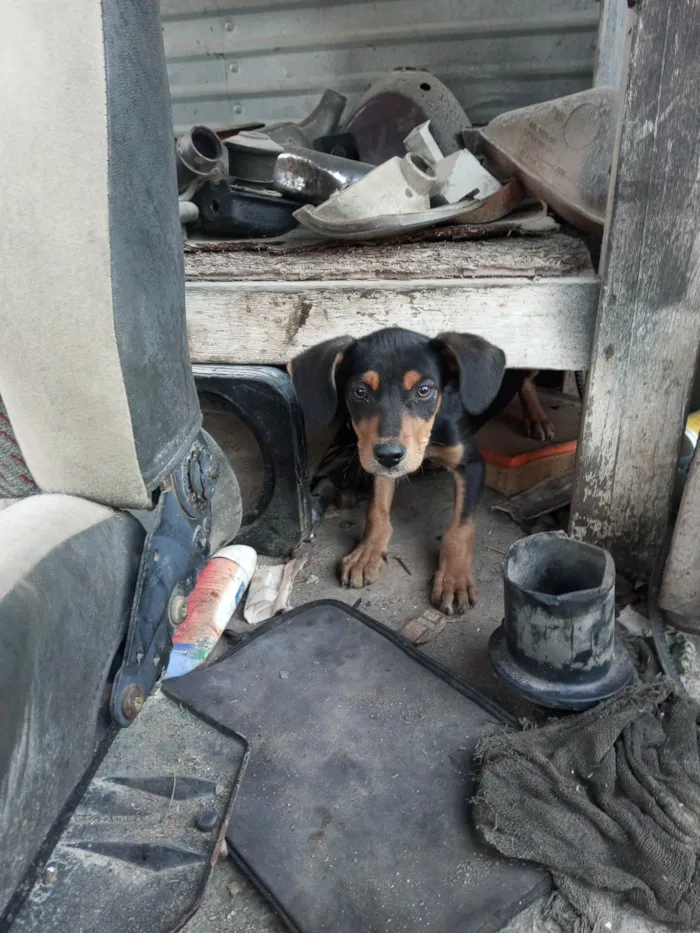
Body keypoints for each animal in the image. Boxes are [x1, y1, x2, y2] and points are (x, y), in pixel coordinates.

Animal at [288, 332, 524, 616]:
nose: (390, 454)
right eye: (359, 392)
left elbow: (461, 528)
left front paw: (454, 579)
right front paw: (366, 553)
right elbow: (376, 510)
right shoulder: (375, 459)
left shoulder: (472, 464)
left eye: (424, 390)